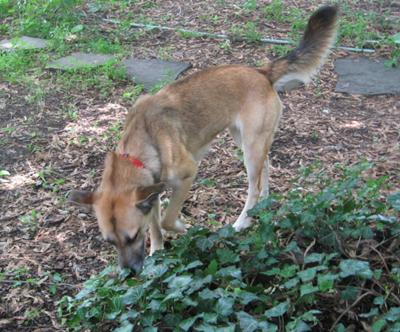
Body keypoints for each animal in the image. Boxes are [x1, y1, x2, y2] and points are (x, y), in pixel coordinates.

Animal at [71, 6, 338, 274]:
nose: (129, 274)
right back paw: (265, 202)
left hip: (250, 149)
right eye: (110, 242)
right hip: (246, 140)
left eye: (133, 236)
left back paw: (242, 221)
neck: (144, 143)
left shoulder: (187, 175)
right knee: (267, 167)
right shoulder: (152, 190)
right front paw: (157, 251)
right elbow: (155, 224)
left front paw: (182, 227)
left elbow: (167, 219)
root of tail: (261, 72)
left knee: (253, 187)